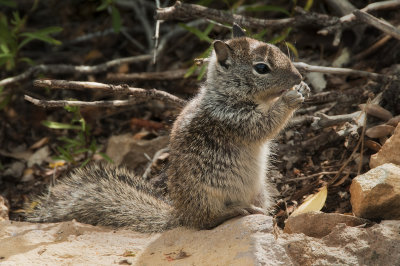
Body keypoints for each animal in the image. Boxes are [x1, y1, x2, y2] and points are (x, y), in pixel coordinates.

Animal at [28, 25, 310, 233]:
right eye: (261, 68)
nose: (298, 77)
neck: (226, 94)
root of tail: (180, 215)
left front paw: (304, 89)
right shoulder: (233, 119)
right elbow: (264, 125)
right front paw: (290, 98)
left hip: (261, 192)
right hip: (206, 196)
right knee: (205, 222)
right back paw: (235, 211)